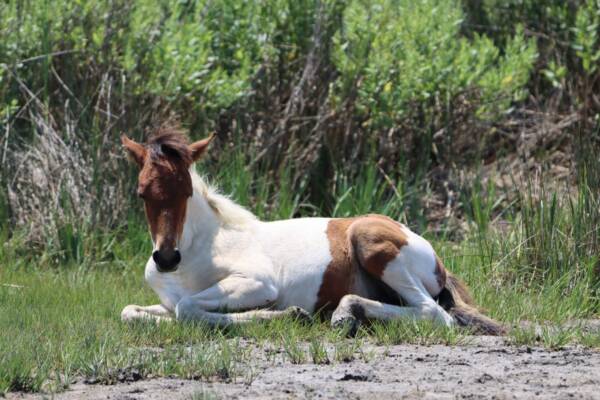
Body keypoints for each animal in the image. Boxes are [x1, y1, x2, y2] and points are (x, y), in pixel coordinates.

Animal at [119, 126, 504, 334]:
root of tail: (437, 261)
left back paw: (346, 314)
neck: (200, 249)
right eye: (141, 193)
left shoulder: (258, 283)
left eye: (186, 191)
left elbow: (187, 309)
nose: (166, 258)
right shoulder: (166, 302)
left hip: (372, 242)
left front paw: (290, 314)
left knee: (433, 313)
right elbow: (136, 313)